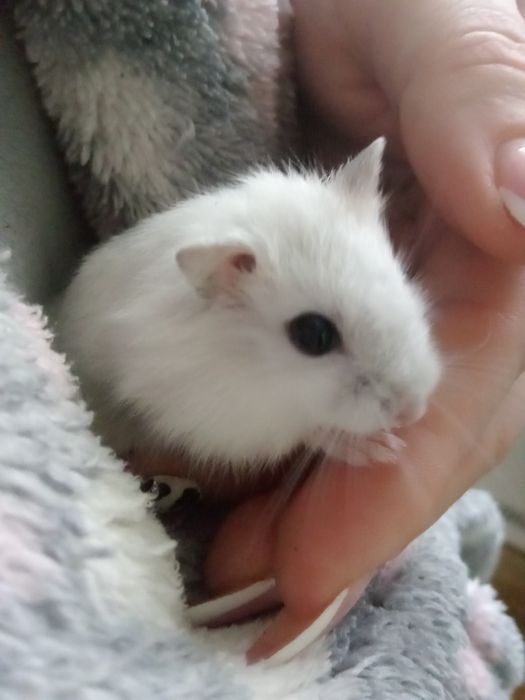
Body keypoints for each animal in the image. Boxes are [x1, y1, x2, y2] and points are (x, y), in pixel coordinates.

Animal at [56, 138, 441, 477]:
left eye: (400, 279)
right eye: (313, 335)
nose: (413, 412)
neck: (251, 366)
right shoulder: (217, 420)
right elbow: (305, 430)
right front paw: (379, 450)